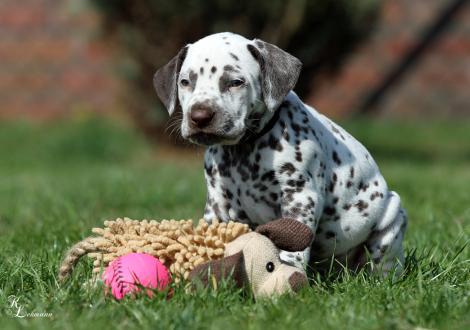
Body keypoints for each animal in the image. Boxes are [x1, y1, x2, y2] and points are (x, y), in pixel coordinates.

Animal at [154, 32, 408, 276]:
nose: (199, 116)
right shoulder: (218, 204)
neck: (243, 151)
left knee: (386, 264)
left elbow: (293, 241)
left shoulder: (300, 197)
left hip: (391, 219)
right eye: (185, 82)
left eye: (236, 82)